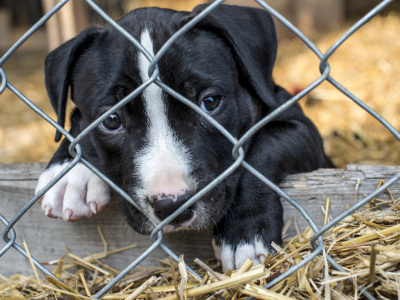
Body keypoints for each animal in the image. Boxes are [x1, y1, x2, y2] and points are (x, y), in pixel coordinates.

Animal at [35, 4, 332, 272]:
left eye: (210, 102)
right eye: (111, 120)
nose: (172, 205)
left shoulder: (305, 131)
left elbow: (263, 144)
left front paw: (245, 233)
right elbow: (75, 121)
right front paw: (70, 172)